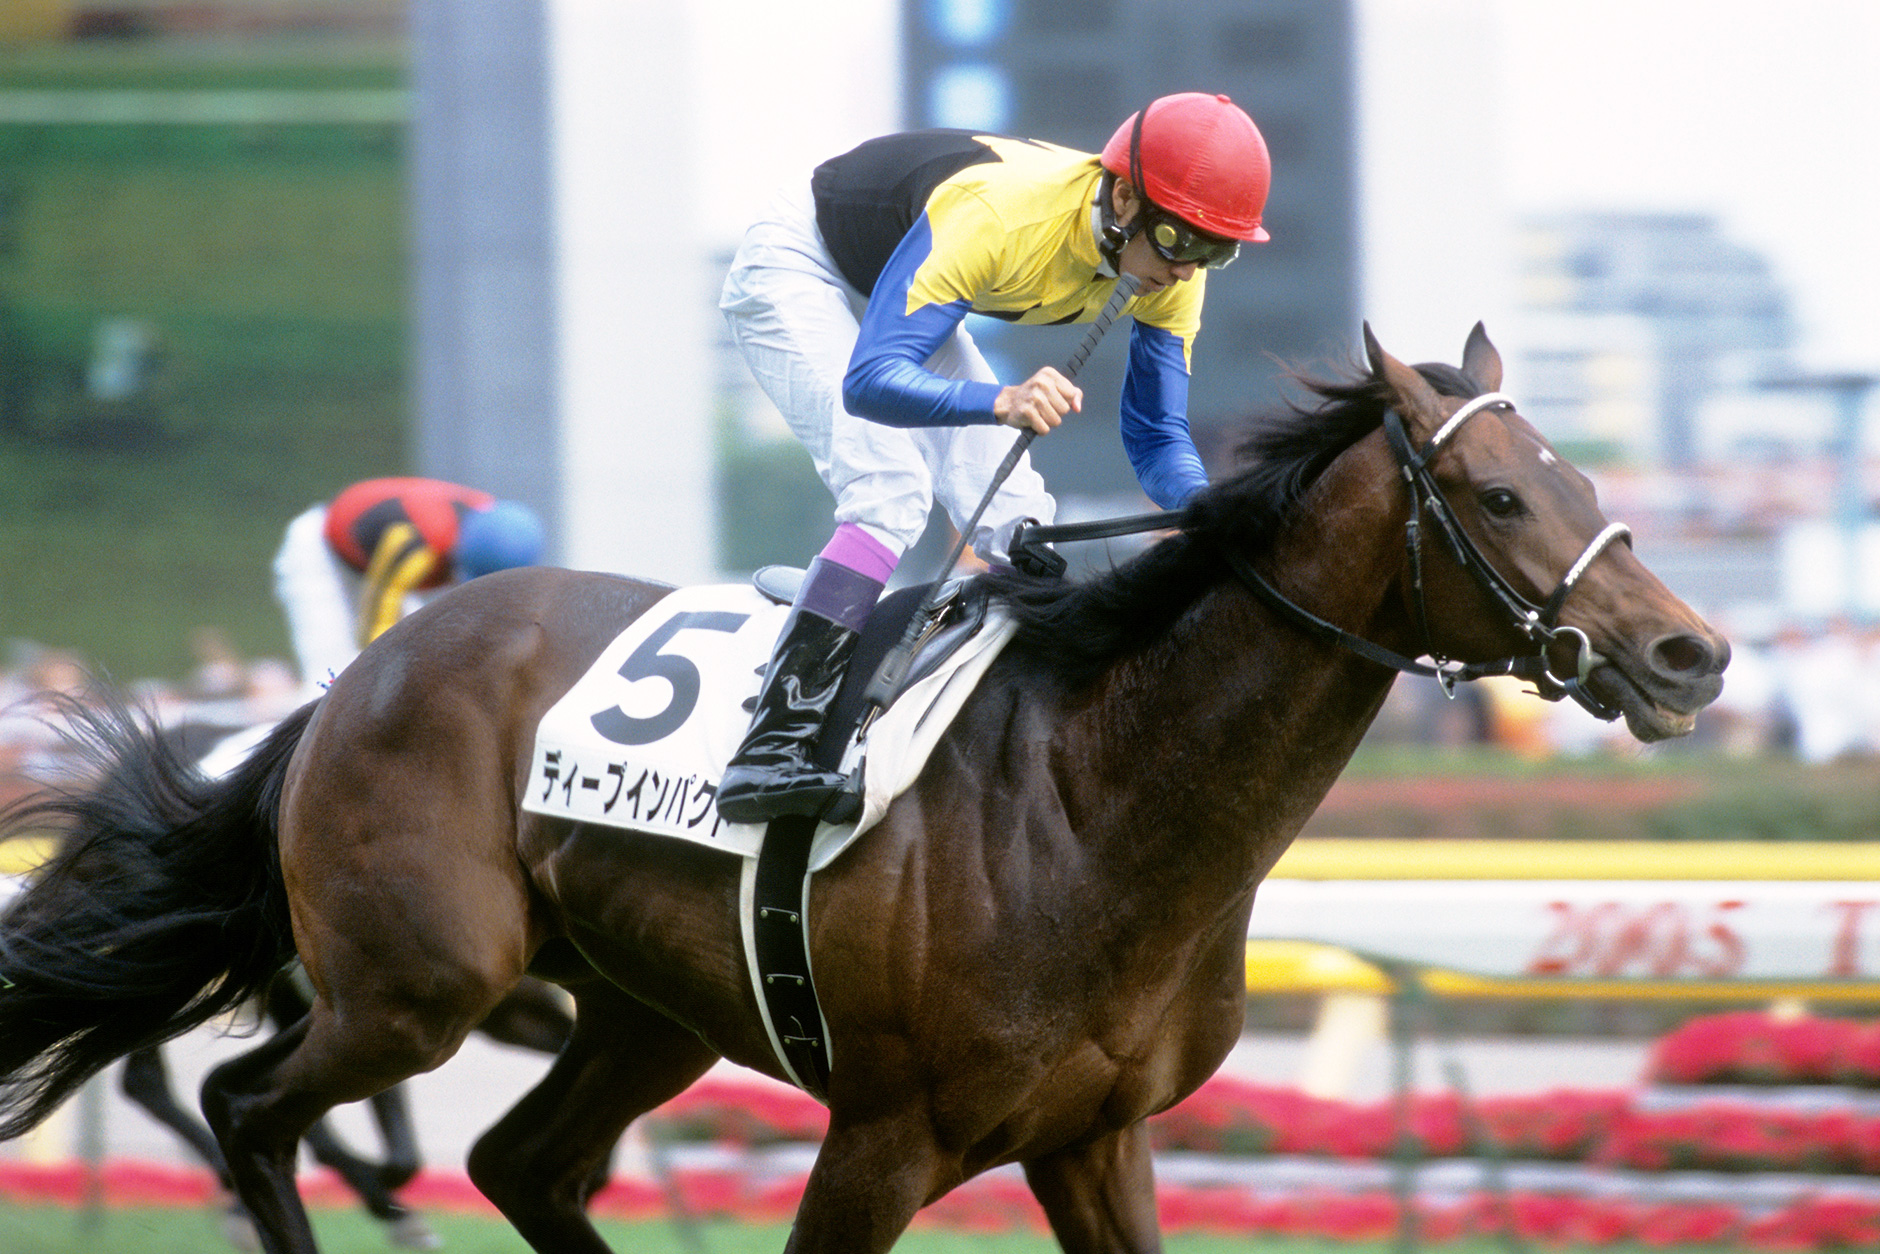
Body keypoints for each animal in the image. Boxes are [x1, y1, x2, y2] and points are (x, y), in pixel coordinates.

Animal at [0, 325, 1727, 1254]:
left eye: (1581, 479)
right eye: (1498, 494)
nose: (1691, 651)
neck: (1099, 804)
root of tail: (345, 684)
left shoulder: (1095, 1136)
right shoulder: (889, 1133)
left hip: (644, 1010)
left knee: (521, 1162)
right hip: (420, 980)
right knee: (247, 1104)